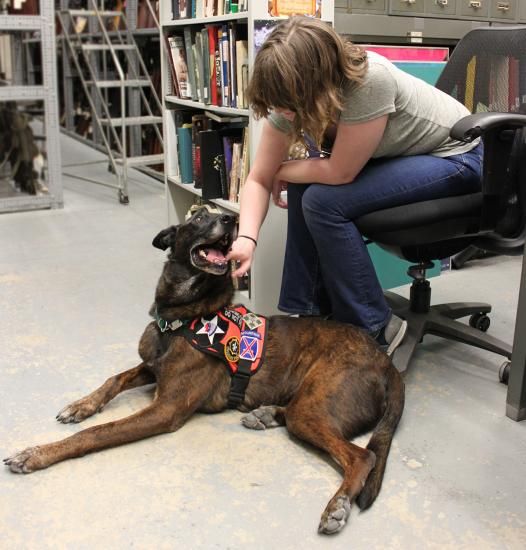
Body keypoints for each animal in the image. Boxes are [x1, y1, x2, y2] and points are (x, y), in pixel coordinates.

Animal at [4, 209, 406, 536]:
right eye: (197, 217)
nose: (232, 219)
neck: (179, 317)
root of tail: (386, 361)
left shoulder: (164, 409)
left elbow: (96, 433)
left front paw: (36, 454)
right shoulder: (152, 368)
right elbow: (114, 379)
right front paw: (81, 405)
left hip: (313, 405)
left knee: (362, 456)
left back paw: (337, 505)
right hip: (305, 403)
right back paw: (263, 414)